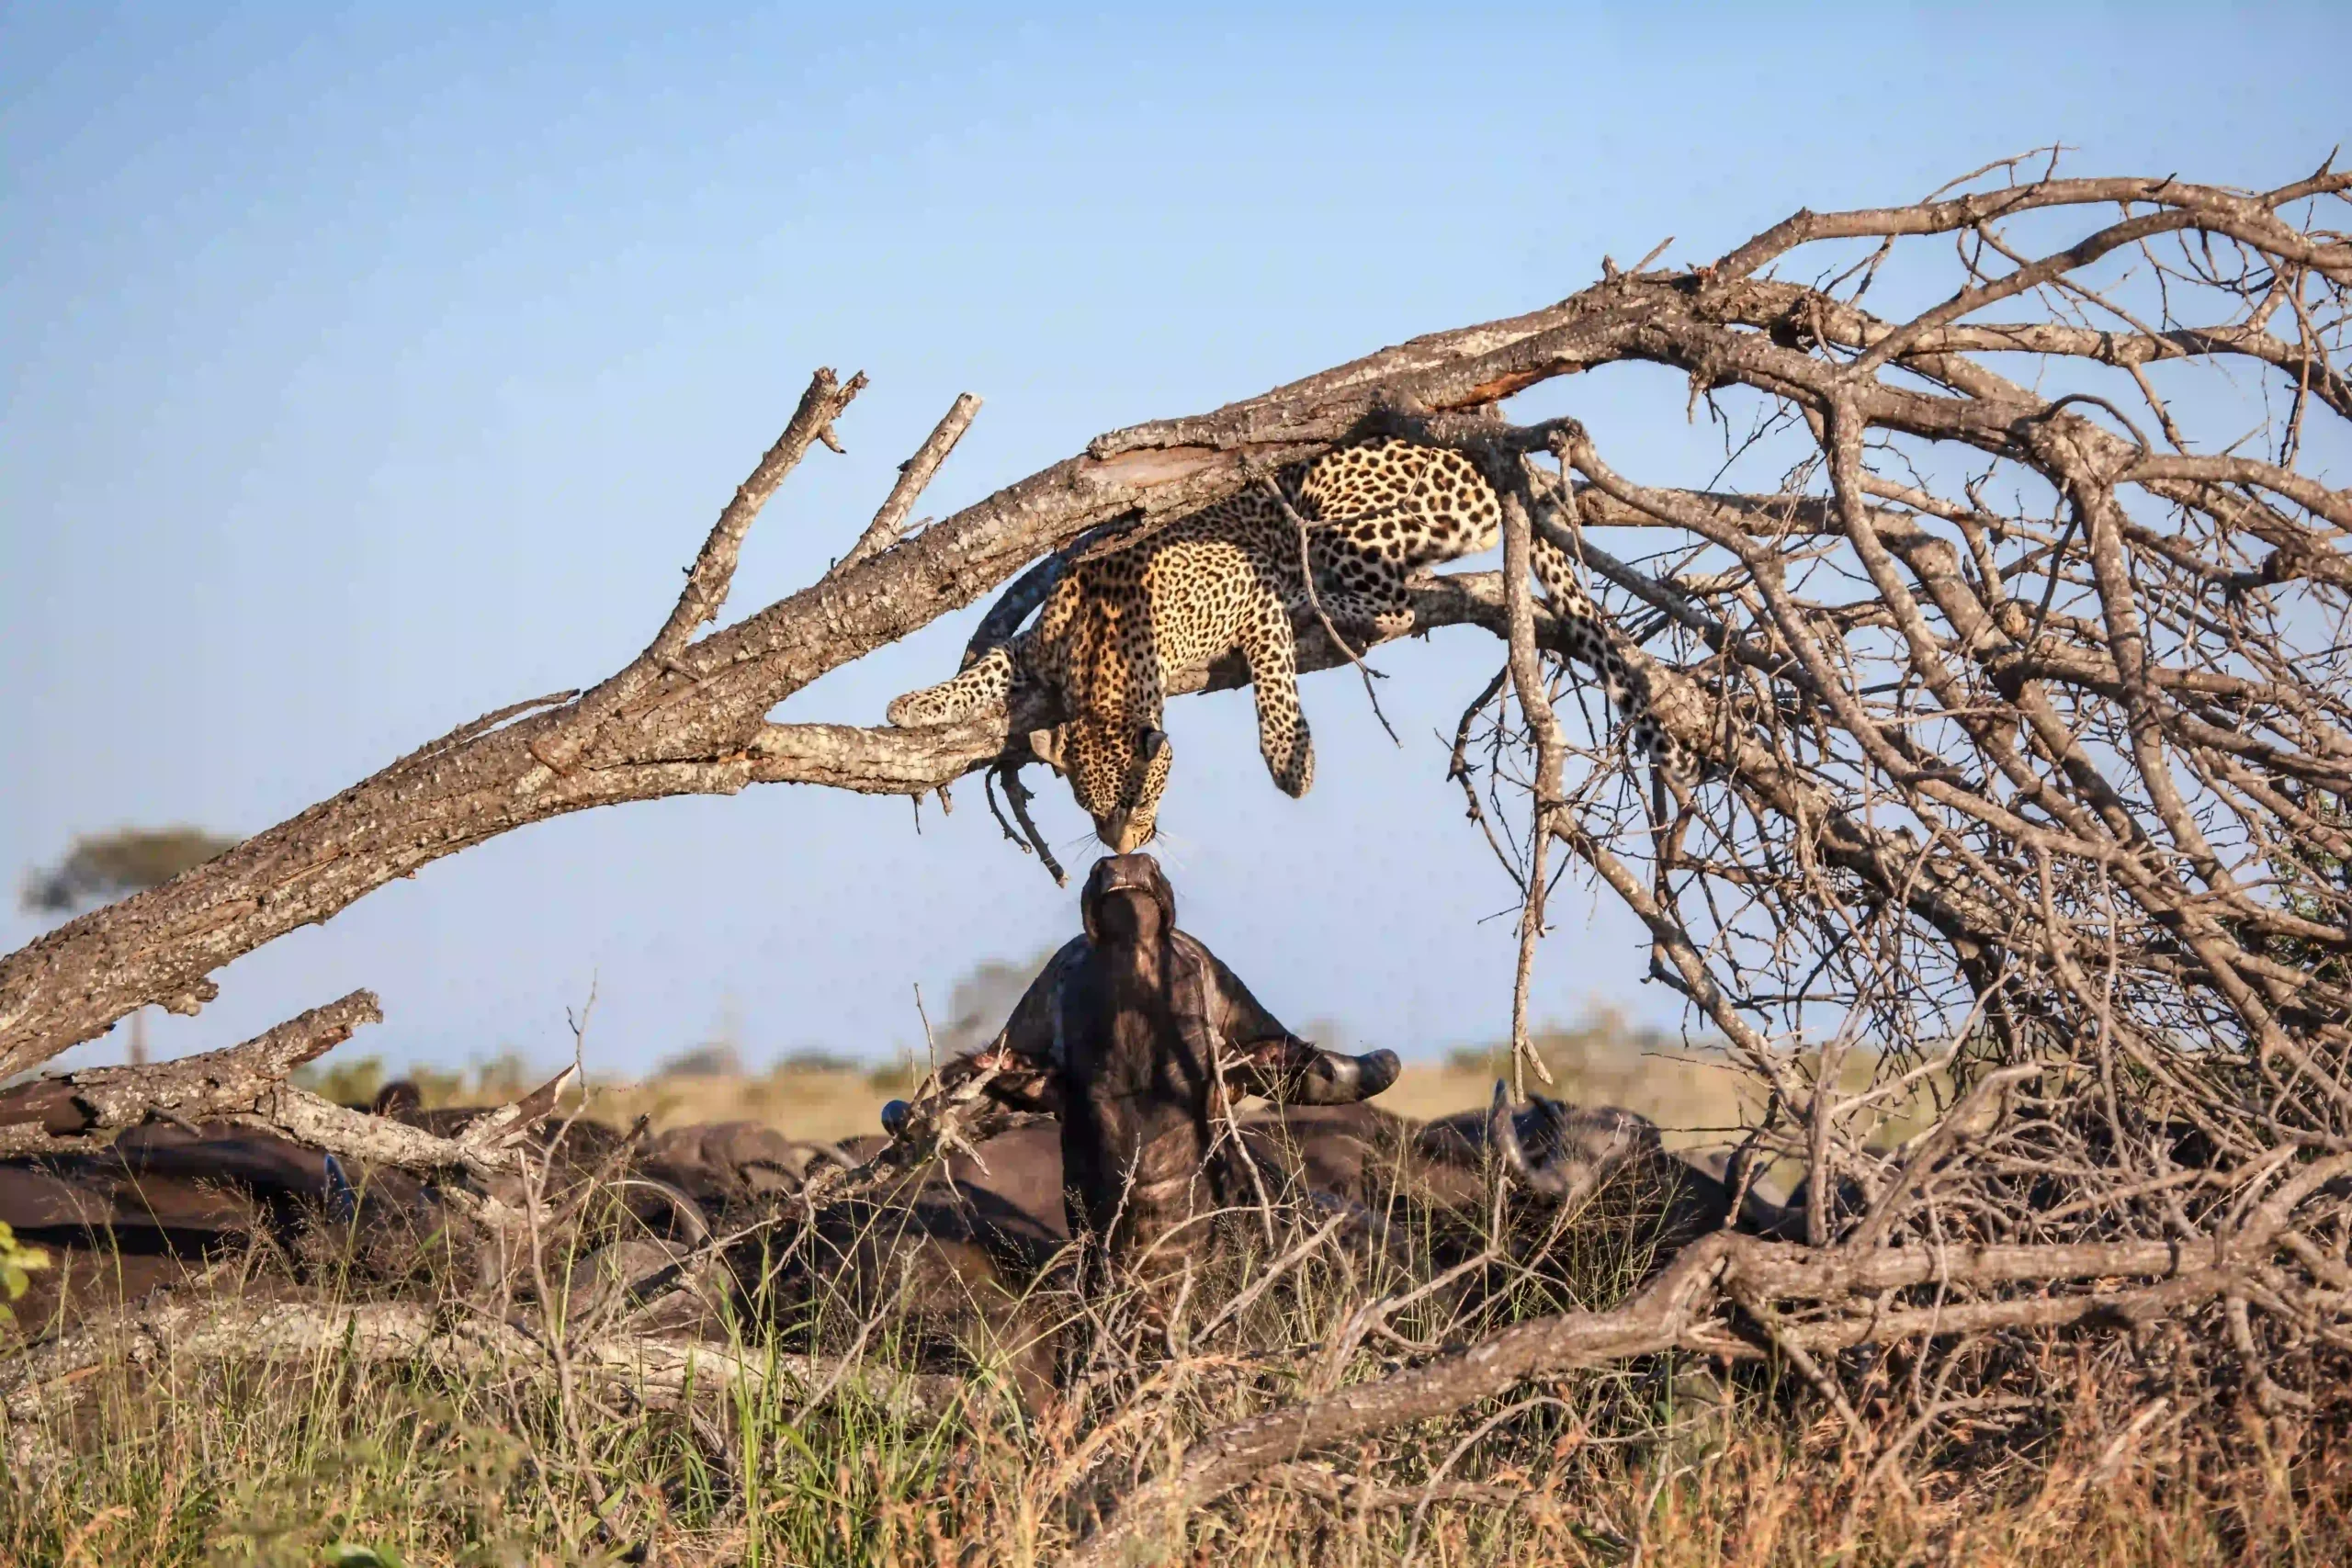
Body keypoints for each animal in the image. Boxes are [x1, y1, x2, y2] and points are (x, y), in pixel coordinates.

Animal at [886, 438, 1692, 851]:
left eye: (1142, 796)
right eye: (1089, 807)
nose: (1126, 846)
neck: (1106, 651)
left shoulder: (1249, 597)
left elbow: (1272, 667)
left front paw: (1288, 757)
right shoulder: (1035, 652)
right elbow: (990, 665)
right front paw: (915, 705)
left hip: (1333, 509)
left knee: (1392, 601)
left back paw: (1324, 600)